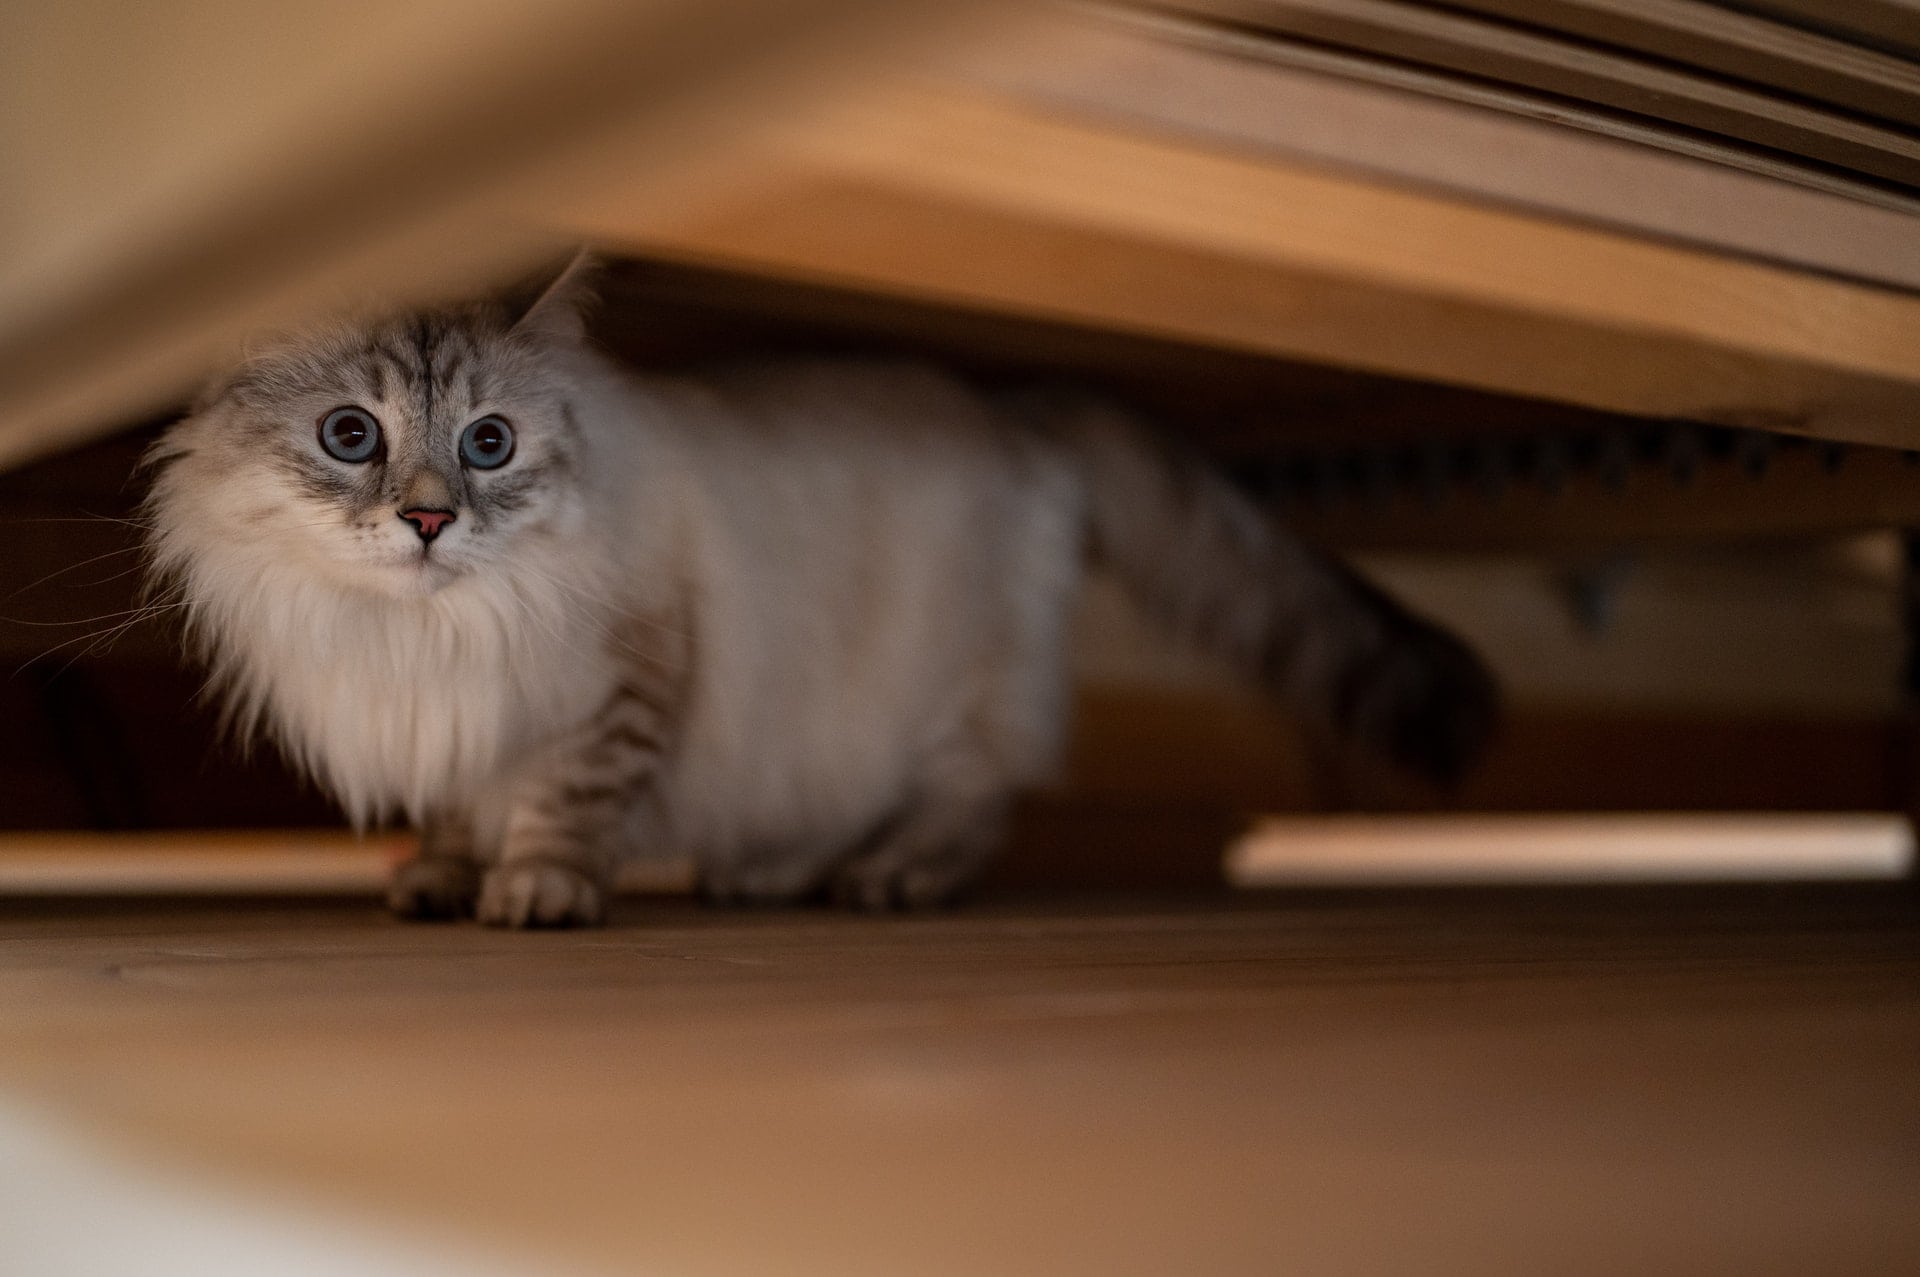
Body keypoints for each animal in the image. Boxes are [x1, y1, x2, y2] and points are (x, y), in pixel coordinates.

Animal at [149, 253, 1497, 925]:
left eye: (489, 444)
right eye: (350, 435)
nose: (429, 519)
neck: (425, 635)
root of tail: (1006, 403)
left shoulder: (613, 680)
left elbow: (559, 806)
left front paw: (537, 890)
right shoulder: (450, 715)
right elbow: (453, 814)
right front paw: (441, 880)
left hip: (941, 696)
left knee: (967, 801)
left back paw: (887, 880)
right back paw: (766, 874)